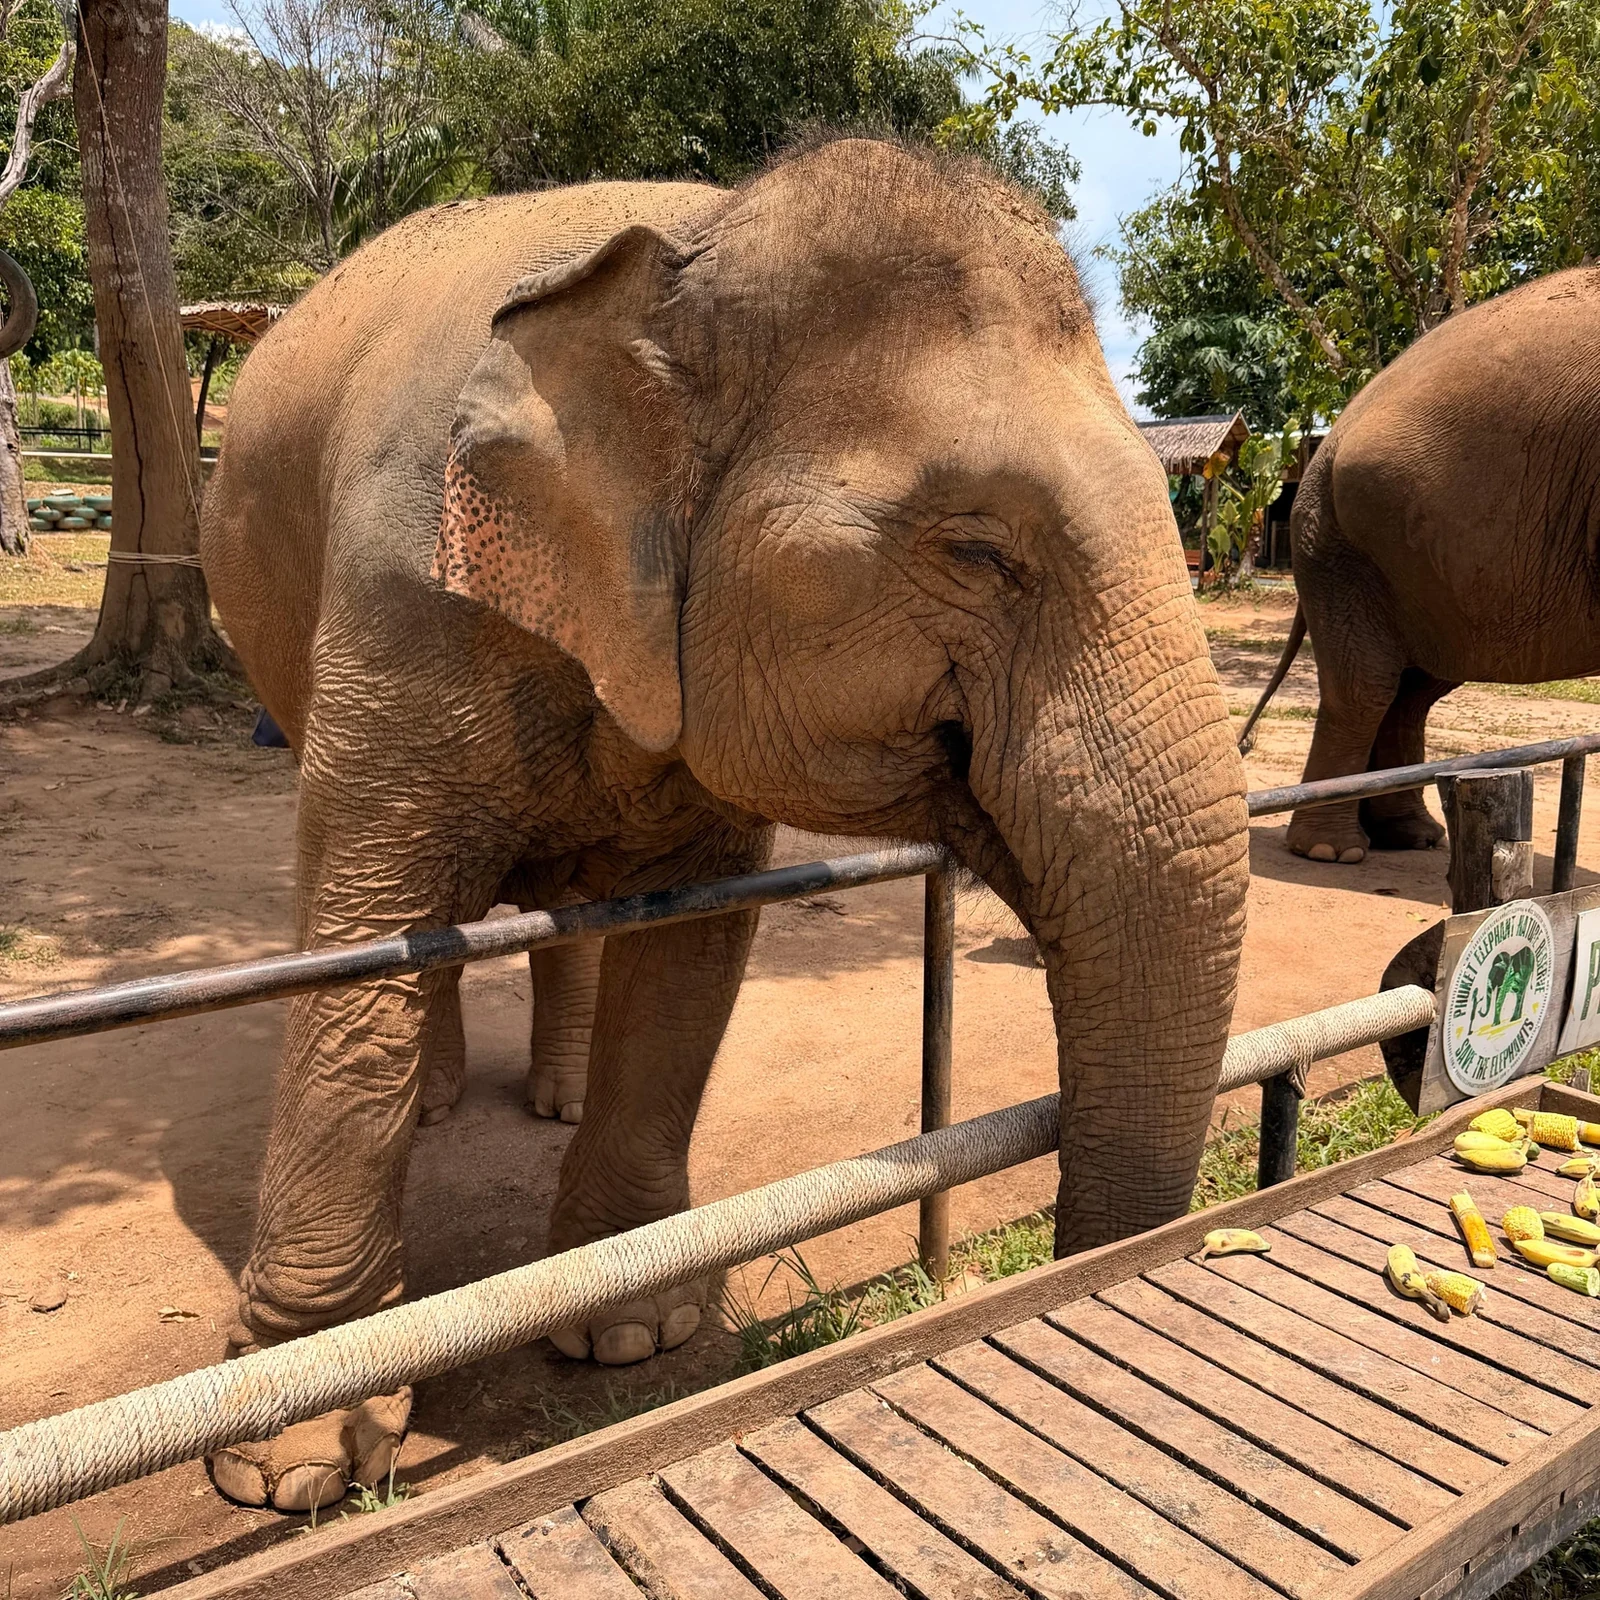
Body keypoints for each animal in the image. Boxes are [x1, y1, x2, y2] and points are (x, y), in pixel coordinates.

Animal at [198, 138, 1249, 1513]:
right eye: (976, 551)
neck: (692, 251)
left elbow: (689, 936)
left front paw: (632, 1329)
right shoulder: (399, 595)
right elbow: (362, 933)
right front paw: (296, 1464)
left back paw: (553, 1099)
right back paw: (437, 1107)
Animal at [1237, 266, 1600, 864]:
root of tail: (1330, 438)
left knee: (1413, 692)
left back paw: (1409, 837)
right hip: (1345, 550)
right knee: (1368, 688)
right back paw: (1332, 852)